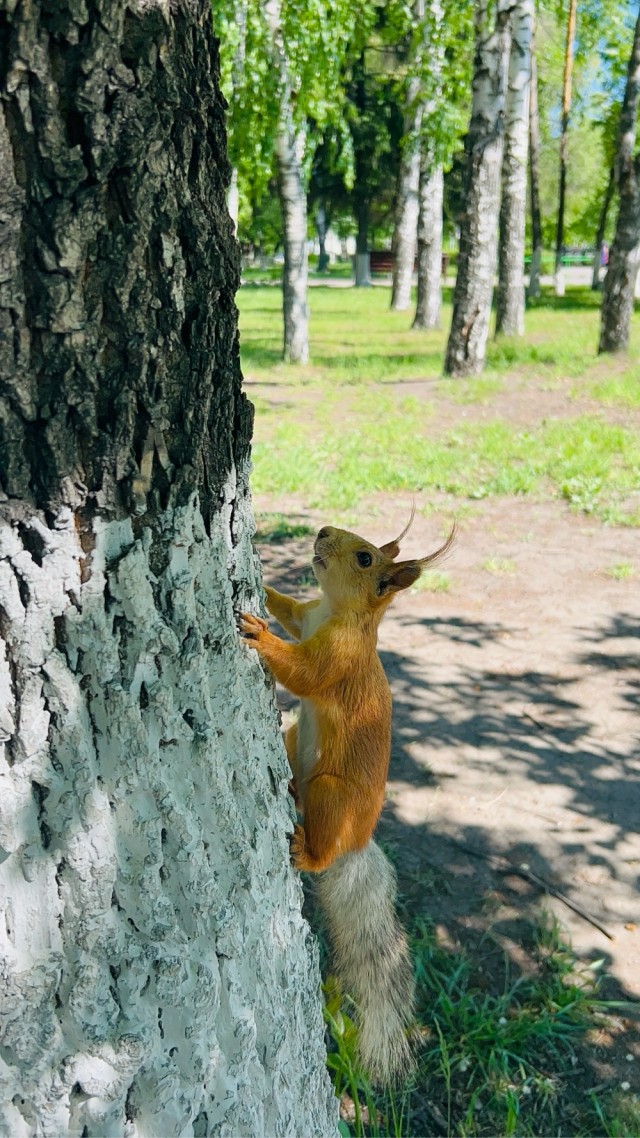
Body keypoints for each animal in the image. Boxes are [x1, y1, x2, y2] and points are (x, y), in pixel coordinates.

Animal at [239, 514, 455, 1084]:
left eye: (364, 558)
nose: (321, 531)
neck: (337, 613)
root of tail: (357, 841)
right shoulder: (308, 615)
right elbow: (290, 609)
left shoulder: (336, 660)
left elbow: (303, 673)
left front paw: (258, 634)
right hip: (295, 739)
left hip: (331, 793)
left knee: (321, 847)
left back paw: (307, 851)